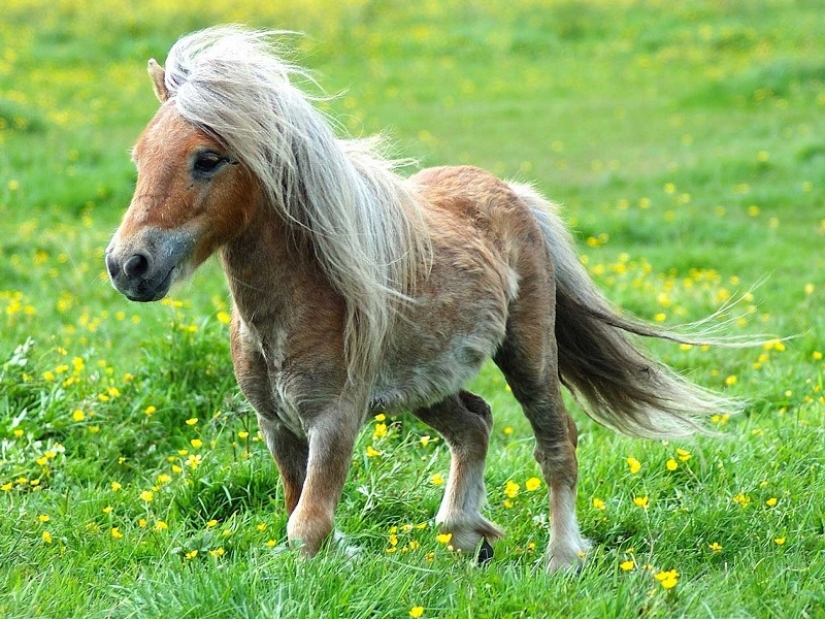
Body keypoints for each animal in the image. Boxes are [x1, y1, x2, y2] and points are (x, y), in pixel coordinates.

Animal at [105, 26, 739, 572]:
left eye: (208, 159)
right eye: (138, 157)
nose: (128, 265)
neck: (295, 306)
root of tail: (512, 194)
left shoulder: (335, 419)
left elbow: (307, 525)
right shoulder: (277, 426)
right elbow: (296, 512)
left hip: (528, 355)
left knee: (557, 442)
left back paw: (560, 560)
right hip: (425, 384)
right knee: (475, 424)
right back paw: (467, 535)